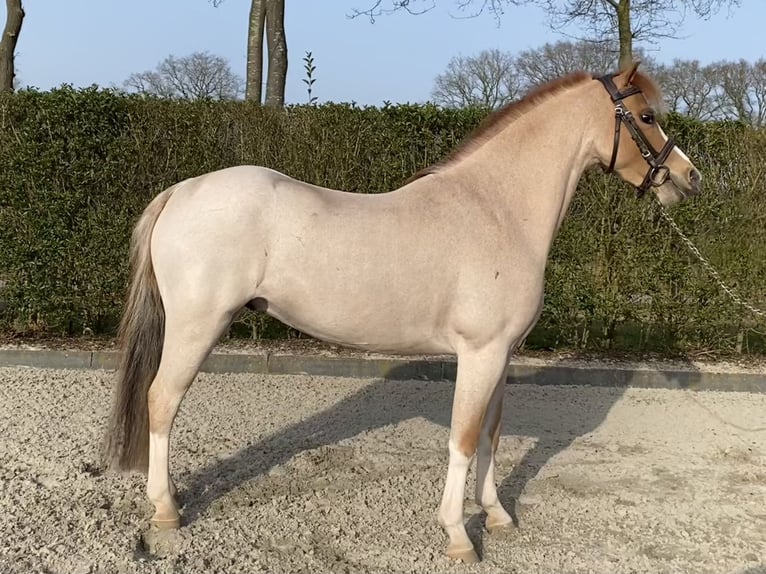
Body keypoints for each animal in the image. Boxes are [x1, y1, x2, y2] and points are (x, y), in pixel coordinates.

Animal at [103, 63, 701, 563]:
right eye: (646, 116)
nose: (689, 177)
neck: (497, 209)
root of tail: (183, 191)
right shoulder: (479, 354)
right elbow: (463, 437)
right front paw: (459, 536)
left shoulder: (502, 356)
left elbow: (491, 434)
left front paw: (497, 516)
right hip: (196, 328)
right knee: (161, 400)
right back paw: (167, 508)